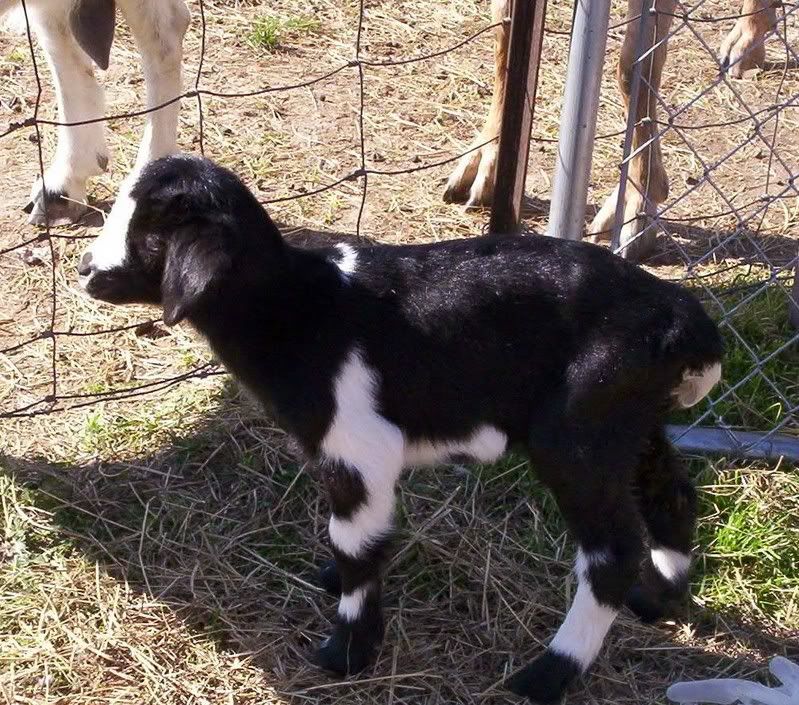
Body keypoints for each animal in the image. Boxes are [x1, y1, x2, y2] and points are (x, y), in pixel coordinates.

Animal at [77, 154, 723, 704]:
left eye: (151, 233)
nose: (86, 271)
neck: (295, 309)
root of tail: (684, 322)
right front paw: (335, 587)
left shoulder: (358, 450)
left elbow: (357, 546)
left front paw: (346, 652)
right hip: (632, 420)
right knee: (672, 493)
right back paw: (659, 599)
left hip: (579, 434)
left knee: (611, 552)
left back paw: (546, 675)